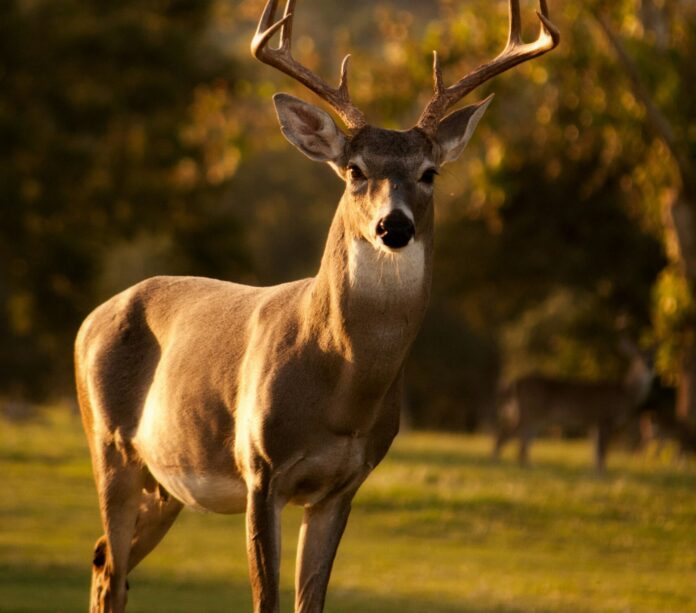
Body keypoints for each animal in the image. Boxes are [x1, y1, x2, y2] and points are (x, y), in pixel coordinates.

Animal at [74, 1, 559, 611]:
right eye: (355, 170)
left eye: (429, 173)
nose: (394, 226)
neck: (340, 390)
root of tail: (90, 320)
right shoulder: (260, 470)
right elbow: (267, 598)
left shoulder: (343, 486)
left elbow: (312, 599)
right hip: (109, 447)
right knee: (111, 567)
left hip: (166, 483)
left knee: (102, 562)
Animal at [493, 342, 654, 471]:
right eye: (639, 356)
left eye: (652, 355)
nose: (650, 365)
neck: (626, 393)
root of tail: (513, 384)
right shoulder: (604, 419)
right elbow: (601, 451)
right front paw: (601, 474)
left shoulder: (594, 424)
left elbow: (595, 451)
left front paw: (594, 474)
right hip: (529, 414)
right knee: (506, 436)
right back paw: (498, 462)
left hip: (534, 418)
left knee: (522, 443)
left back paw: (526, 467)